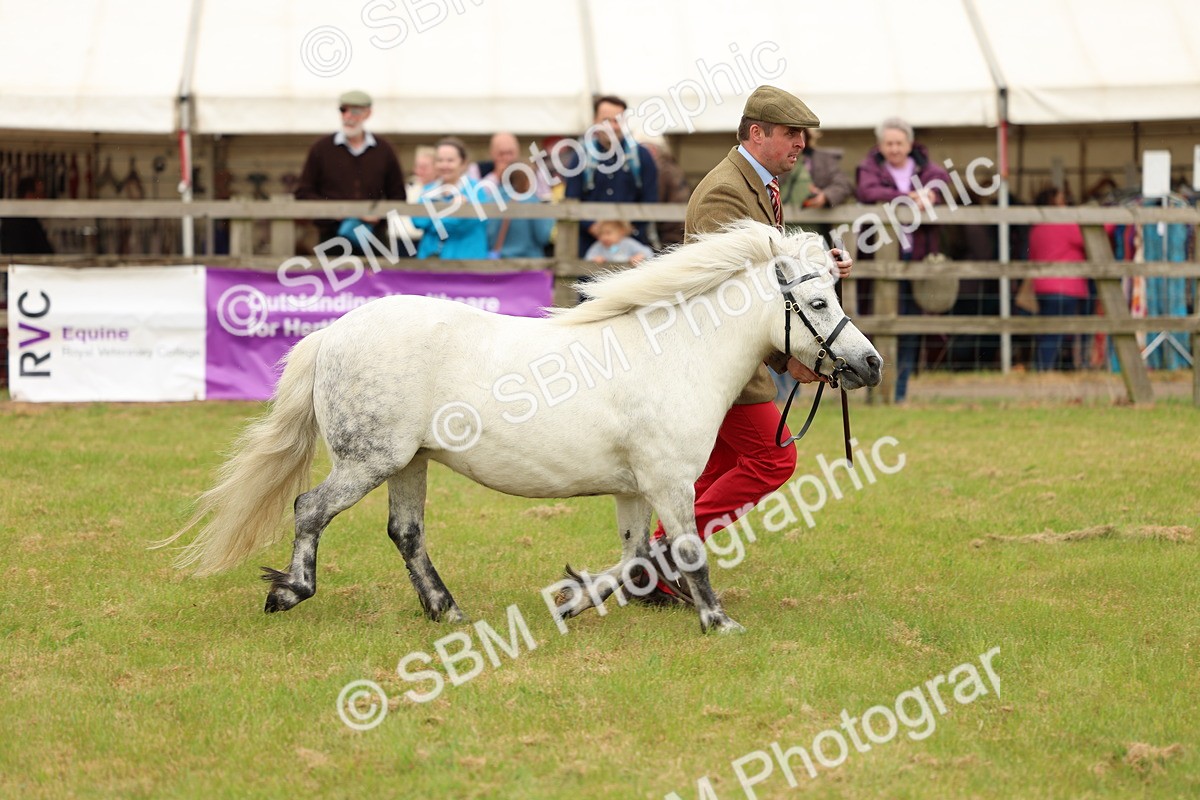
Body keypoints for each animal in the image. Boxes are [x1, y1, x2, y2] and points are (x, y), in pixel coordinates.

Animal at [161, 220, 882, 634]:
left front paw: (572, 601)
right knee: (310, 508)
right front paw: (717, 620)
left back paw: (446, 610)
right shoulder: (670, 482)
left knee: (405, 533)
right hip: (370, 460)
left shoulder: (633, 488)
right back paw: (291, 592)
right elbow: (684, 550)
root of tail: (333, 333)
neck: (674, 353)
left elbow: (634, 558)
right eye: (818, 301)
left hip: (408, 463)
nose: (870, 364)